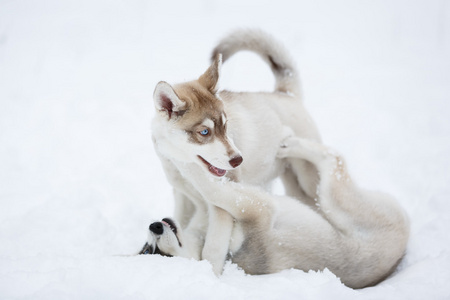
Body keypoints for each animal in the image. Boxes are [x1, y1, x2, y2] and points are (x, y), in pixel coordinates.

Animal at [142, 137, 410, 290]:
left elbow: (205, 195)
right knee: (334, 161)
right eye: (151, 252)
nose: (154, 226)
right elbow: (211, 187)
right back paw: (294, 146)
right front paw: (186, 162)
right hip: (340, 202)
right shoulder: (258, 209)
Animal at [152, 29, 324, 274]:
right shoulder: (183, 196)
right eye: (204, 132)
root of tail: (286, 94)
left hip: (306, 181)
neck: (183, 165)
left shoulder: (220, 208)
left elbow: (213, 250)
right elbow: (182, 223)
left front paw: (212, 274)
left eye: (225, 126)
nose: (238, 160)